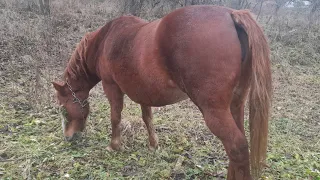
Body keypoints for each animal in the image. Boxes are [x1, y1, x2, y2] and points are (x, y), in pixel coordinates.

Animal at [52, 4, 270, 179]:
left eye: (63, 108)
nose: (68, 137)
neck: (106, 41)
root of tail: (232, 15)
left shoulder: (111, 87)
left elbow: (115, 117)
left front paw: (114, 145)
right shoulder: (143, 92)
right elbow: (147, 118)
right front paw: (153, 145)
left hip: (214, 111)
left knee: (237, 147)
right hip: (236, 104)